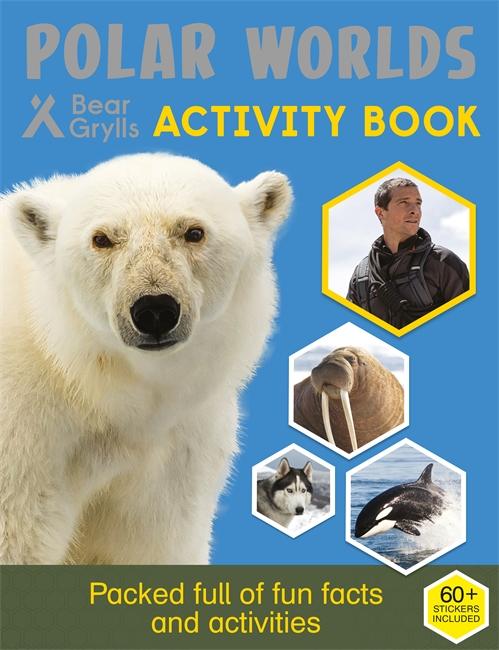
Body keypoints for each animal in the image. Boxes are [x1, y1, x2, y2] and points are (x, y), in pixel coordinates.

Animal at [0, 153, 292, 564]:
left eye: (194, 232)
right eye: (102, 239)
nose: (155, 310)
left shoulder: (175, 453)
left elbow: (149, 542)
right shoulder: (25, 442)